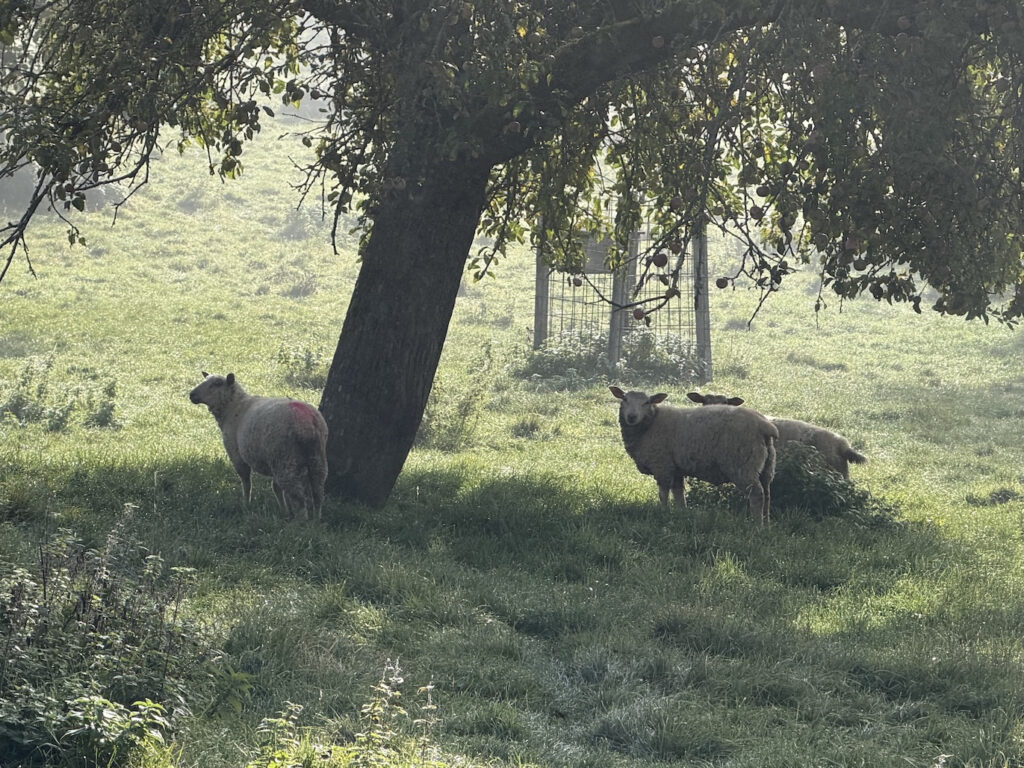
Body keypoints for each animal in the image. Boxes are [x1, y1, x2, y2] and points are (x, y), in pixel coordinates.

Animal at [189, 371, 328, 520]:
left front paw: (246, 504)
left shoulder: (236, 455)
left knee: (299, 498)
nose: (191, 395)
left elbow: (246, 483)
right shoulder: (272, 462)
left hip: (286, 460)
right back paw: (317, 519)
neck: (234, 407)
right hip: (316, 459)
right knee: (318, 492)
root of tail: (309, 421)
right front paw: (285, 511)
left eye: (217, 384)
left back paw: (301, 522)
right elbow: (276, 488)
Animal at [610, 386, 778, 524]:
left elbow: (663, 494)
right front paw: (680, 515)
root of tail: (765, 426)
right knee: (767, 494)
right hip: (766, 467)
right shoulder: (676, 469)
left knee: (756, 494)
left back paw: (756, 526)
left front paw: (663, 513)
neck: (650, 424)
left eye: (646, 402)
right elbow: (679, 494)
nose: (631, 417)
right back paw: (767, 524)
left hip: (742, 465)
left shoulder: (662, 466)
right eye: (624, 399)